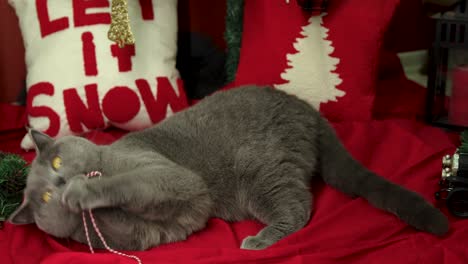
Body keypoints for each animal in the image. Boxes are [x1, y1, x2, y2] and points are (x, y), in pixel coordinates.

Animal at [9, 87, 450, 252]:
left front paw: (82, 190)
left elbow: (128, 182)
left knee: (300, 209)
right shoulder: (133, 237)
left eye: (58, 162)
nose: (60, 182)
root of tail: (306, 109)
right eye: (43, 196)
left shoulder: (163, 174)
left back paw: (260, 240)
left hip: (260, 172)